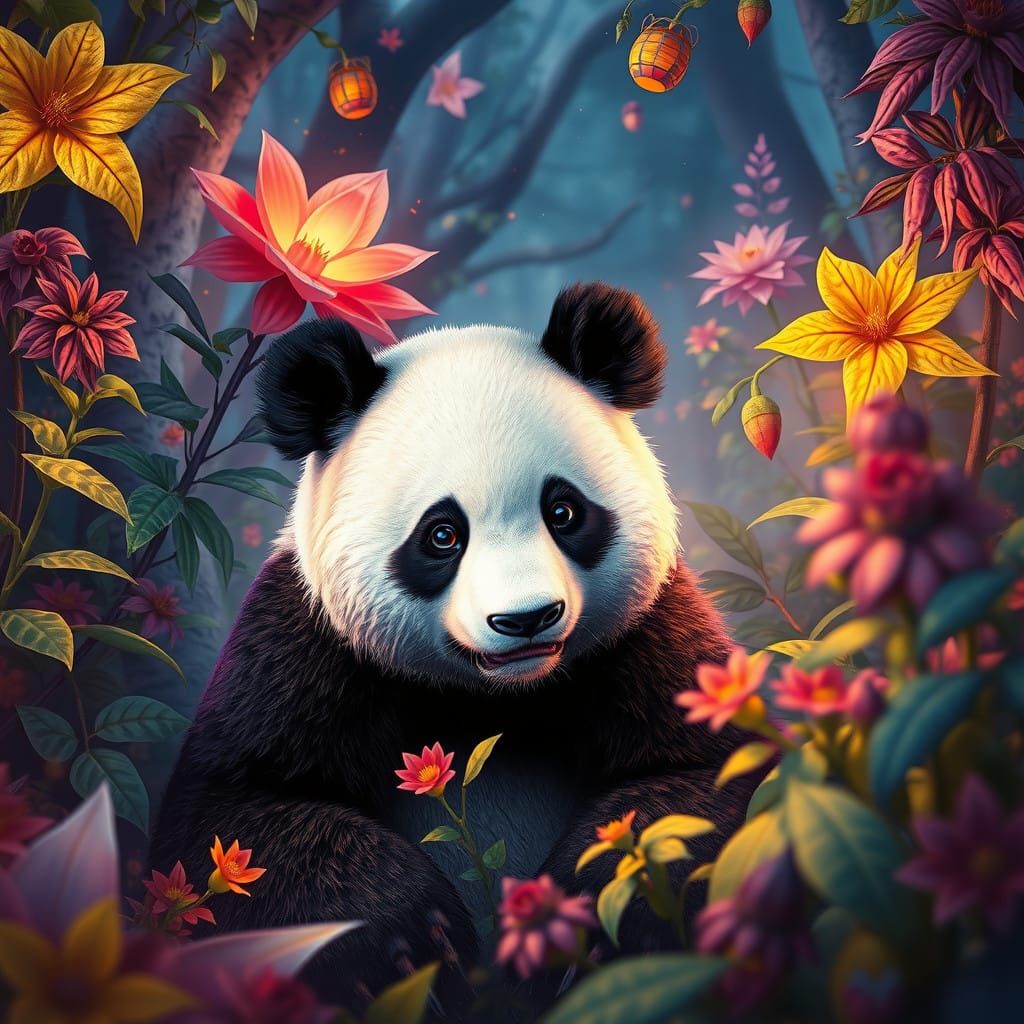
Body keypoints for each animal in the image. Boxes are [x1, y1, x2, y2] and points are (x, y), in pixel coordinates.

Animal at [151, 282, 753, 1016]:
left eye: (564, 512)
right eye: (442, 535)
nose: (527, 619)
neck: (493, 699)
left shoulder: (647, 634)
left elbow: (710, 776)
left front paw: (583, 912)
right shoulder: (299, 651)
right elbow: (229, 822)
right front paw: (410, 944)